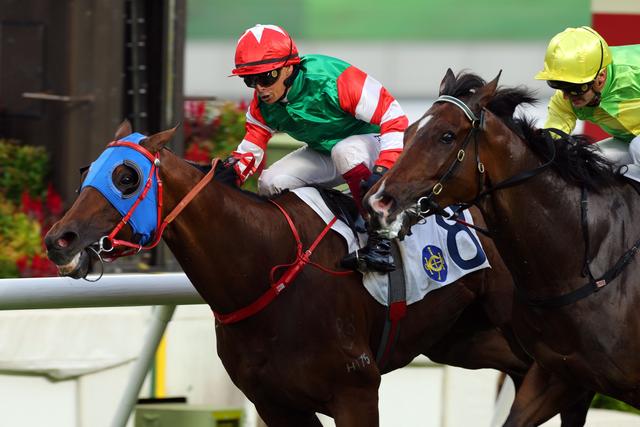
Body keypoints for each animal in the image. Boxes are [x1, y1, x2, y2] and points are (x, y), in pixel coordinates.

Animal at [43, 118, 584, 426]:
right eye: (86, 171)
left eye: (126, 177)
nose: (58, 240)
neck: (265, 268)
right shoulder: (276, 405)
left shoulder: (357, 393)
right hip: (463, 338)